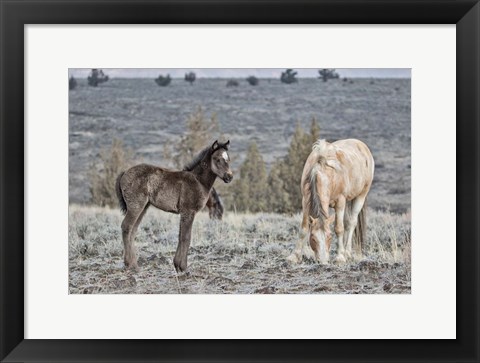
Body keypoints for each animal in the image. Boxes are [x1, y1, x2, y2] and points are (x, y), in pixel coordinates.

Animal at [116, 141, 232, 272]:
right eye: (217, 159)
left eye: (228, 159)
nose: (229, 177)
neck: (198, 181)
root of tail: (124, 172)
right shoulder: (189, 211)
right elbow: (186, 237)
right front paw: (183, 267)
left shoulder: (184, 213)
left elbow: (180, 236)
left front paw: (177, 265)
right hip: (136, 206)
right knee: (126, 227)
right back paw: (130, 264)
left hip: (143, 207)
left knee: (133, 230)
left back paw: (134, 264)